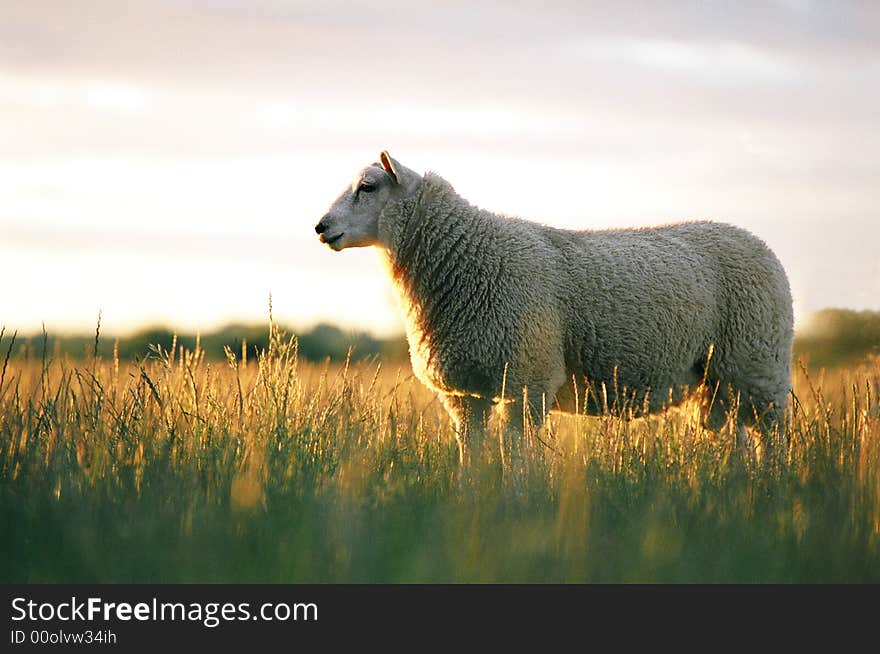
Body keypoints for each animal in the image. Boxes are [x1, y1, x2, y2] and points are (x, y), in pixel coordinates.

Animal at [312, 151, 796, 464]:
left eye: (368, 187)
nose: (320, 227)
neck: (468, 257)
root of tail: (760, 244)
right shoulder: (465, 393)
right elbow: (473, 456)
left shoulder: (528, 381)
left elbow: (516, 456)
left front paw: (518, 505)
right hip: (716, 380)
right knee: (732, 438)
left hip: (757, 364)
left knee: (772, 437)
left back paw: (771, 490)